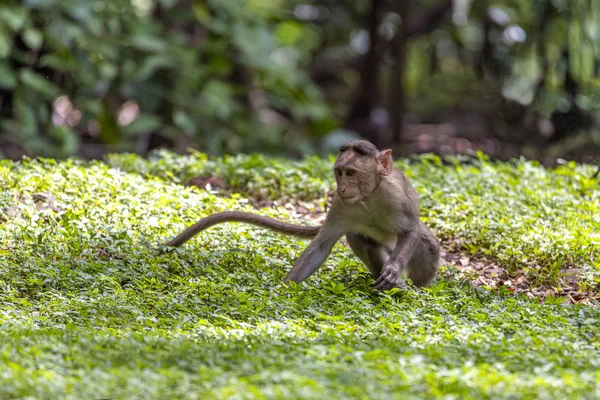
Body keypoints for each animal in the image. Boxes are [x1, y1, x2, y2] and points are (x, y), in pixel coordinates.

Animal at [164, 139, 440, 290]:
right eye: (339, 173)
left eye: (351, 173)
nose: (342, 187)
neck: (368, 196)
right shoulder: (341, 205)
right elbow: (320, 247)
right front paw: (283, 289)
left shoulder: (397, 198)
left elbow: (411, 229)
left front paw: (393, 269)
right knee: (358, 237)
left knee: (428, 244)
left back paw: (413, 289)